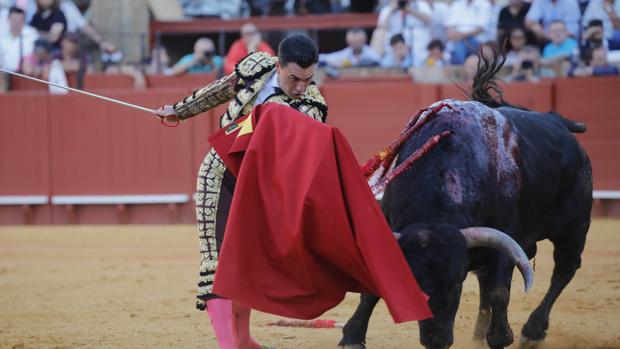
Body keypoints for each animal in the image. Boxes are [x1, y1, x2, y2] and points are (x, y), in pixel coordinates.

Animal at [340, 57, 592, 348]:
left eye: (457, 281)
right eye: (411, 284)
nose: (436, 340)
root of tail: (557, 122)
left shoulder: (506, 239)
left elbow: (498, 291)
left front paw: (501, 336)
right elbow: (373, 291)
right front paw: (353, 336)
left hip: (574, 227)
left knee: (564, 270)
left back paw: (532, 331)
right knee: (488, 276)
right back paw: (479, 333)